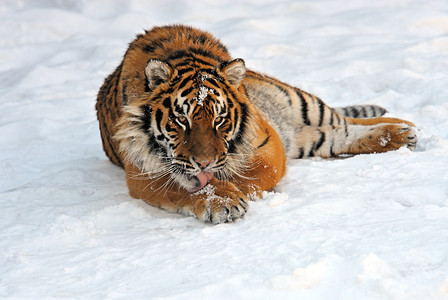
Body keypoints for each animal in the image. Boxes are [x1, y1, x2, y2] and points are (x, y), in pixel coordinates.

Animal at [96, 25, 418, 223]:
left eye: (219, 119)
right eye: (181, 120)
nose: (204, 163)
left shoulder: (267, 143)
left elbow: (250, 175)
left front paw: (228, 192)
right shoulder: (144, 173)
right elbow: (188, 187)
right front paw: (221, 201)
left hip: (302, 102)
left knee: (343, 120)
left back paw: (405, 126)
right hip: (312, 137)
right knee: (341, 134)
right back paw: (401, 134)